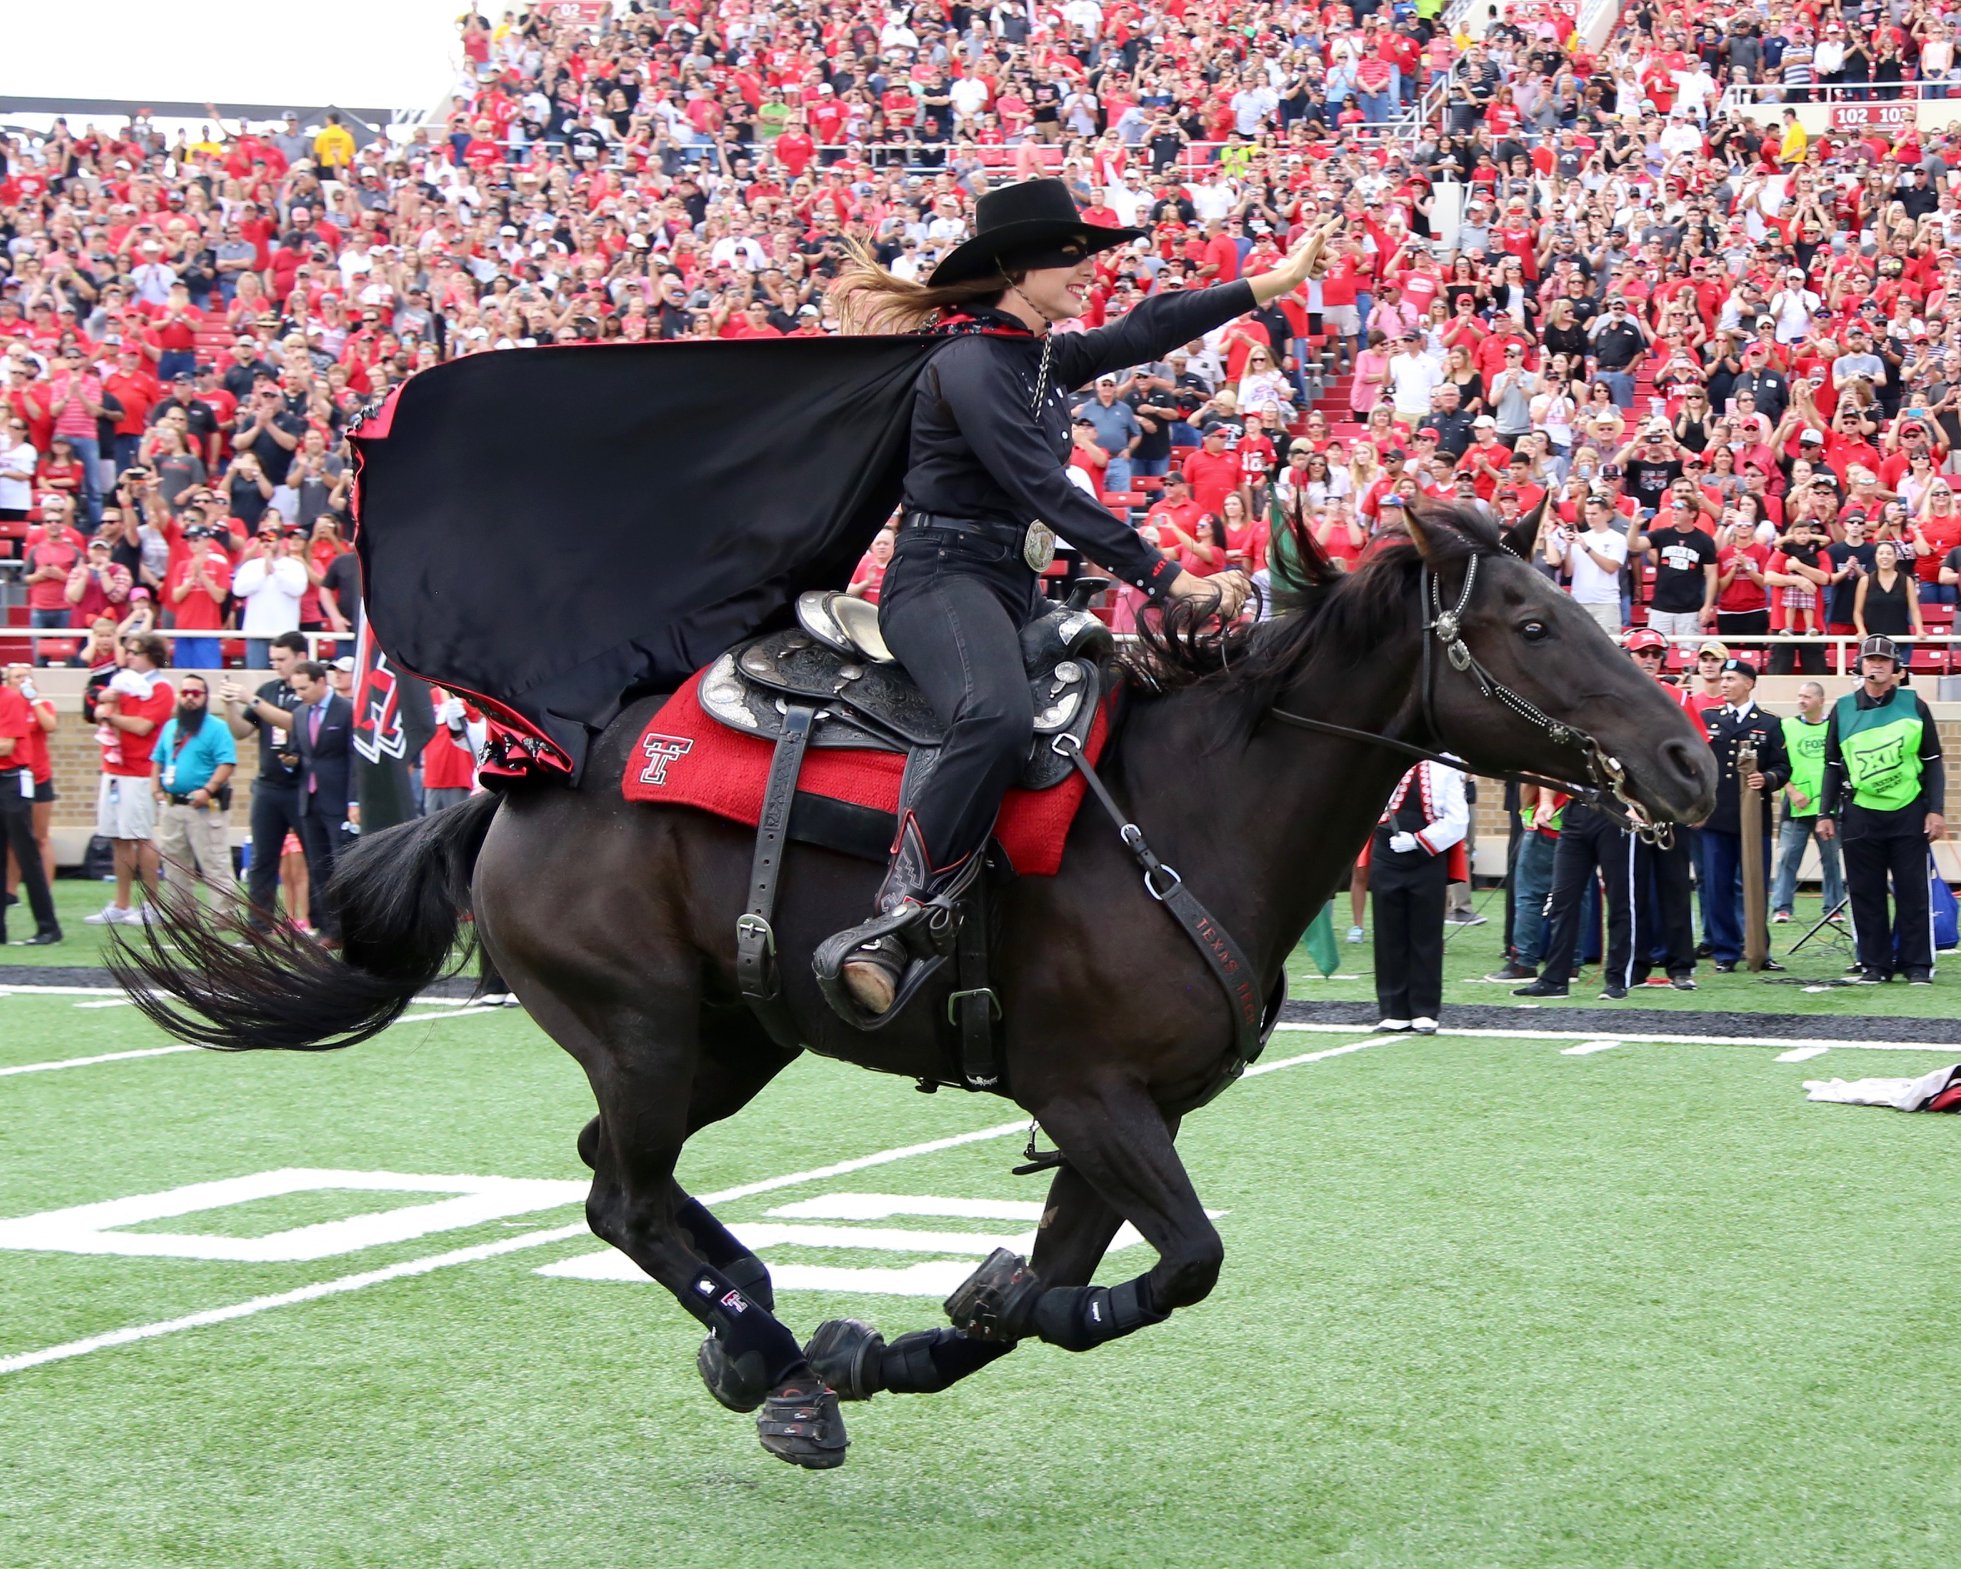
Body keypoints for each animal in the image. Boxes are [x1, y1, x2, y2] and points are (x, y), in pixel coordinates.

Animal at [114, 506, 1717, 1474]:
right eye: (1531, 627)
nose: (1692, 760)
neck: (1189, 812)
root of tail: (514, 782)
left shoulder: (1121, 1123)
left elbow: (1065, 1293)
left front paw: (909, 1332)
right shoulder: (1094, 1098)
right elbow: (1178, 1267)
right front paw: (901, 1329)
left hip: (729, 1039)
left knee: (616, 1183)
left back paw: (766, 1337)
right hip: (642, 1031)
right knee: (622, 1197)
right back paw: (768, 1354)